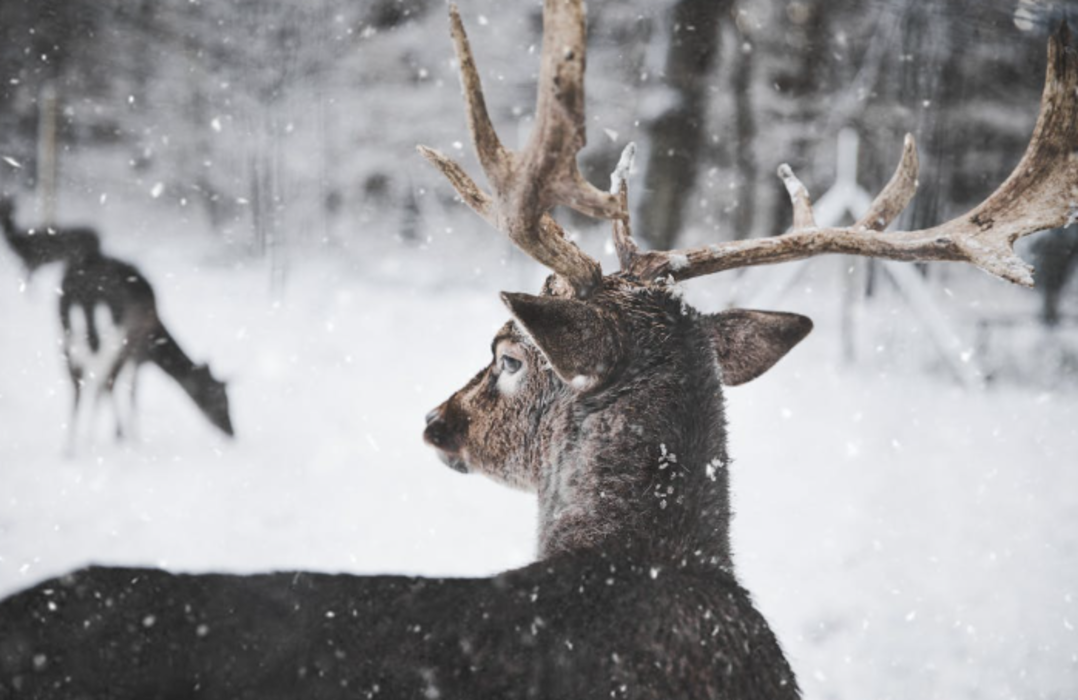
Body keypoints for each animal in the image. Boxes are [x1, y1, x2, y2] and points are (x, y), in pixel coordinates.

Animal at [0, 198, 233, 448]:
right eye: (220, 398)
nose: (232, 432)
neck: (156, 339)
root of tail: (82, 291)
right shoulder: (137, 349)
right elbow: (129, 390)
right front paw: (129, 436)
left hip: (67, 329)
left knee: (78, 380)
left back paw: (71, 446)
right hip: (112, 333)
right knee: (101, 379)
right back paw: (98, 437)